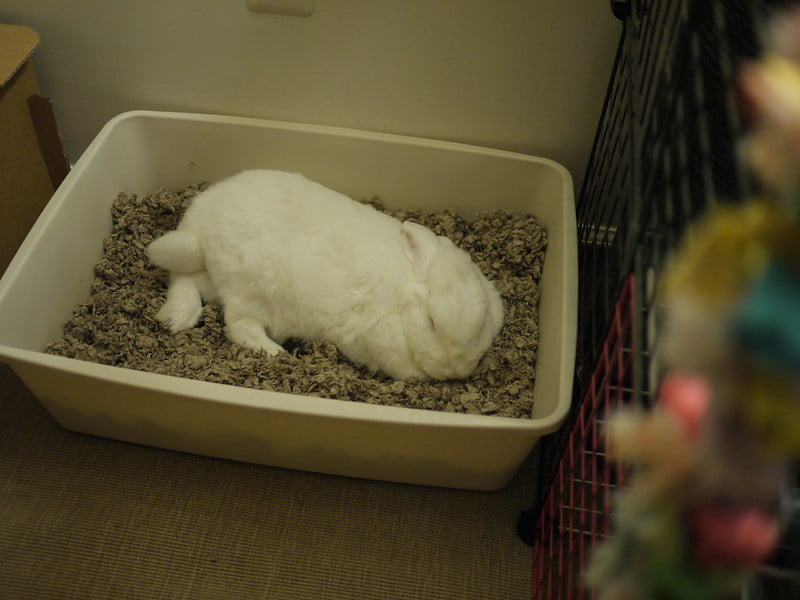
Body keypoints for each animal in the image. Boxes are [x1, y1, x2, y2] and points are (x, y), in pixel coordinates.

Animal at [147, 169, 504, 380]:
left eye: (484, 323)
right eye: (431, 322)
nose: (455, 370)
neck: (403, 296)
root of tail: (202, 237)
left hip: (213, 278)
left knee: (183, 279)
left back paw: (174, 318)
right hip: (256, 293)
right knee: (238, 325)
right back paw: (276, 354)